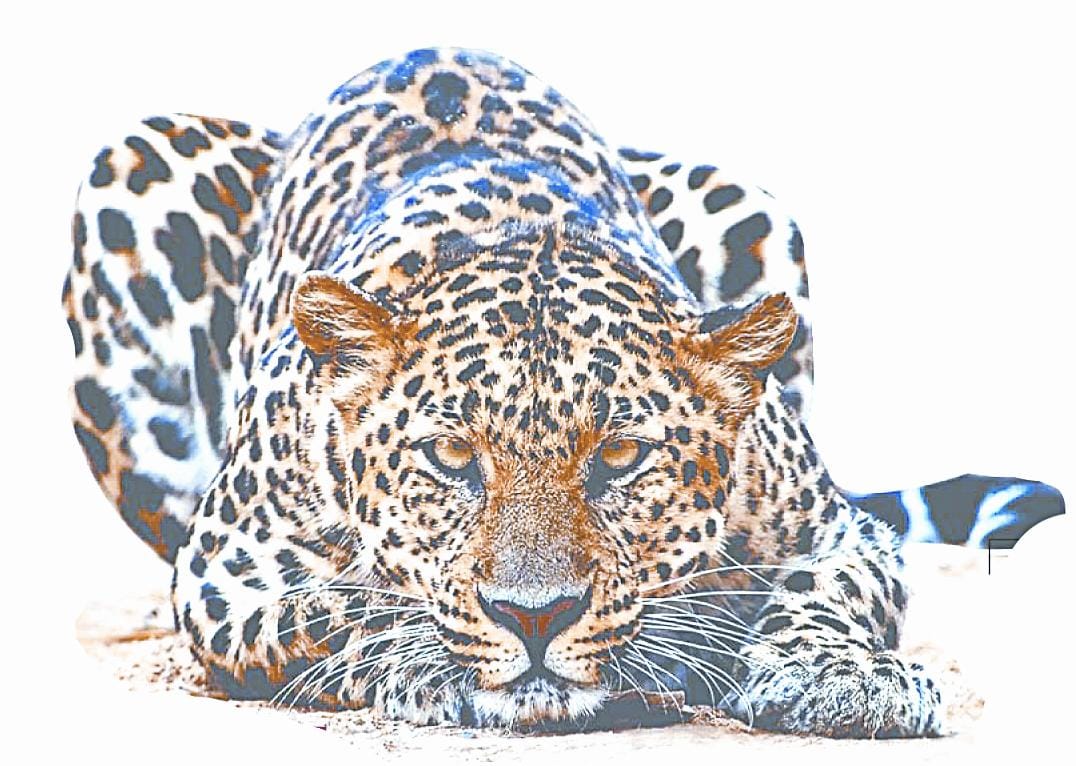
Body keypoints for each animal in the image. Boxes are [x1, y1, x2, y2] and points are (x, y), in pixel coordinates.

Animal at [63, 47, 1064, 736]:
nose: (535, 617)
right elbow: (338, 604)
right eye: (451, 457)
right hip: (130, 174)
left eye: (619, 457)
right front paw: (433, 659)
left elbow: (832, 585)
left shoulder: (835, 523)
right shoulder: (225, 565)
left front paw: (841, 675)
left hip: (749, 203)